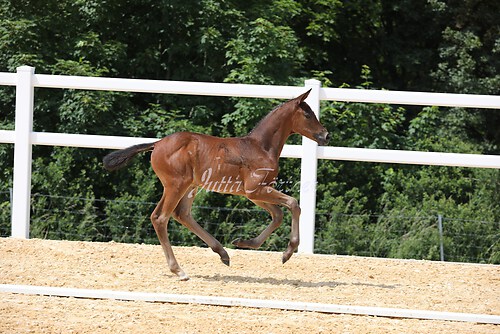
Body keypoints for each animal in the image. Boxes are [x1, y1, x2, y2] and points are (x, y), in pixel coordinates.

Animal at [102, 90, 328, 280]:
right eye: (308, 115)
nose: (326, 135)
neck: (261, 147)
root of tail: (157, 144)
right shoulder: (255, 190)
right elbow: (293, 204)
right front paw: (288, 252)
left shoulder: (253, 193)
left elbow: (278, 215)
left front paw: (245, 242)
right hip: (176, 186)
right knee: (160, 218)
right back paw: (179, 270)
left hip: (189, 187)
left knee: (182, 214)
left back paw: (223, 253)